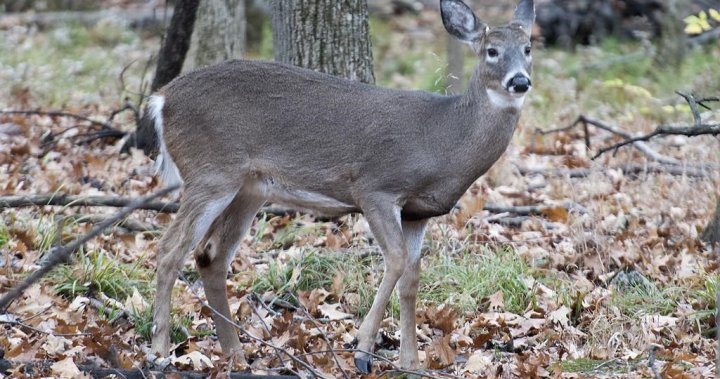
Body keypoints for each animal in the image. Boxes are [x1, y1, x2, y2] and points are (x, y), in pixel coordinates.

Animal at [149, 0, 536, 374]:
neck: (445, 140)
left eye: (528, 48)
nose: (520, 80)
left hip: (249, 188)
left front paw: (410, 364)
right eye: (491, 50)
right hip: (211, 172)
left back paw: (236, 355)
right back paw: (160, 352)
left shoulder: (419, 212)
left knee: (209, 255)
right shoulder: (374, 188)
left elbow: (411, 278)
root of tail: (161, 99)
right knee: (169, 250)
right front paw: (363, 349)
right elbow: (396, 260)